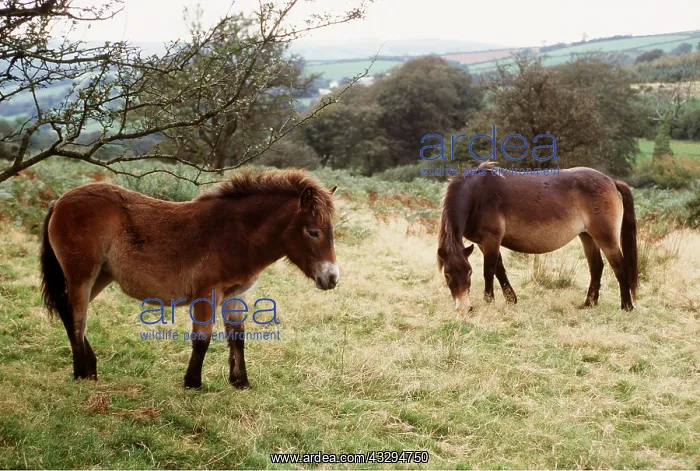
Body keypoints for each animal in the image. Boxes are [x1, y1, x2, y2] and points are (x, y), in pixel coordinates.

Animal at [40, 169, 339, 389]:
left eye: (331, 231)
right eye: (313, 231)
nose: (332, 278)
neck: (233, 234)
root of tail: (60, 201)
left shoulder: (236, 295)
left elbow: (237, 337)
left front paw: (240, 382)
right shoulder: (207, 293)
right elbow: (202, 338)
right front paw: (193, 382)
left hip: (100, 276)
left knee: (68, 312)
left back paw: (90, 367)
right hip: (82, 275)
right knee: (77, 318)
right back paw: (81, 373)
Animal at [437, 163, 638, 311]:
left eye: (469, 272)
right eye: (447, 274)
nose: (464, 308)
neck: (477, 195)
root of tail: (611, 181)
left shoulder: (491, 239)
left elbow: (489, 271)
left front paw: (489, 301)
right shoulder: (482, 243)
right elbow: (499, 270)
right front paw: (511, 299)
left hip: (605, 237)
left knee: (619, 267)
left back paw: (626, 306)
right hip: (587, 236)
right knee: (596, 267)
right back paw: (589, 303)